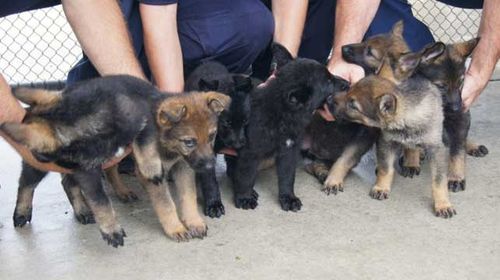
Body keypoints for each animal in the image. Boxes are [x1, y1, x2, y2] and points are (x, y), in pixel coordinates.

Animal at [0, 75, 229, 246]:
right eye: (189, 142)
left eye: (212, 136)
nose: (210, 166)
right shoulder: (89, 168)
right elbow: (162, 203)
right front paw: (175, 228)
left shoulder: (182, 166)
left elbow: (187, 196)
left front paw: (193, 222)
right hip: (40, 167)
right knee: (26, 183)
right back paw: (22, 212)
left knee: (81, 178)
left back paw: (101, 201)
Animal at [184, 61, 254, 219]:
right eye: (226, 122)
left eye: (245, 121)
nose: (238, 144)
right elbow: (210, 182)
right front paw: (214, 205)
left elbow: (243, 173)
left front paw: (245, 196)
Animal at [229, 43, 350, 210]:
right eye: (328, 82)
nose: (348, 83)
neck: (282, 113)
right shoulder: (250, 153)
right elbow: (245, 176)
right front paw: (244, 197)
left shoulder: (289, 151)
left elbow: (287, 177)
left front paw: (288, 197)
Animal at [332, 44, 458, 218]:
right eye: (350, 89)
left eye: (353, 105)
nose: (330, 99)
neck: (409, 117)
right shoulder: (386, 142)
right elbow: (386, 168)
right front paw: (381, 187)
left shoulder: (438, 149)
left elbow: (439, 181)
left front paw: (443, 204)